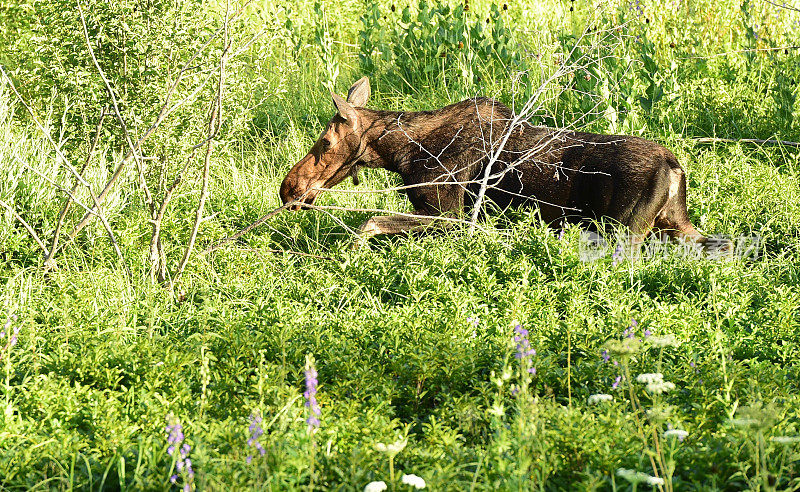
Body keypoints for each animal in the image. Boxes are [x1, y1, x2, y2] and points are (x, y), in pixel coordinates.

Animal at [280, 77, 720, 250]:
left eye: (324, 142)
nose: (288, 188)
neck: (401, 154)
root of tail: (675, 168)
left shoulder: (450, 215)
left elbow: (367, 224)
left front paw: (348, 257)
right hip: (676, 226)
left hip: (624, 231)